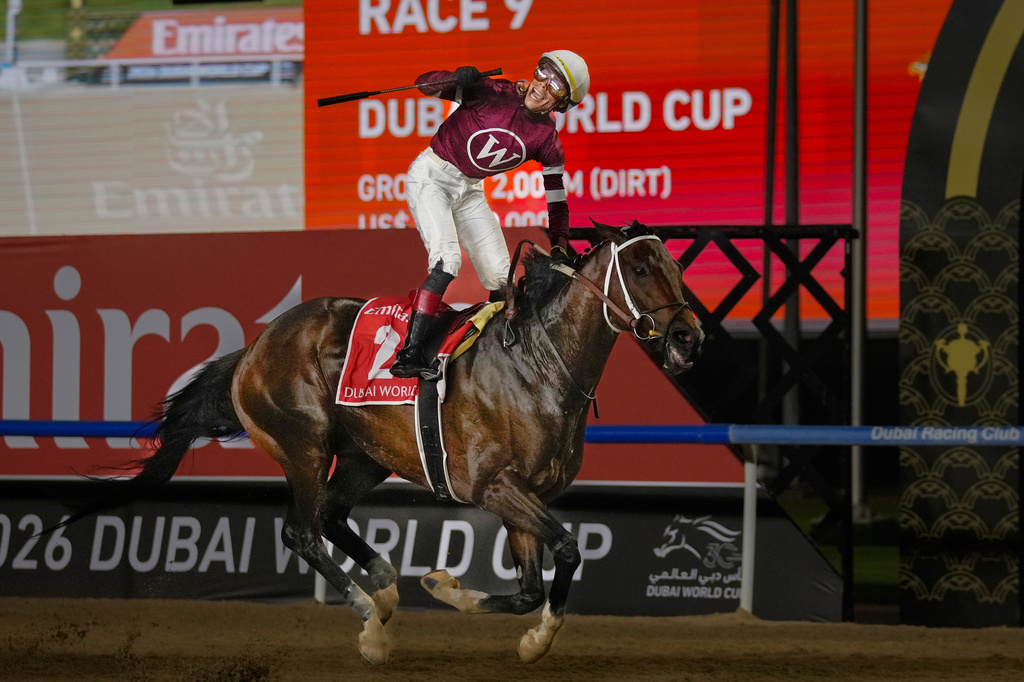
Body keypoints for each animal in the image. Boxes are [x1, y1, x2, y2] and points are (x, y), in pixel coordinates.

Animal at [51, 220, 703, 665]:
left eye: (675, 265)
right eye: (640, 269)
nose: (688, 337)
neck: (537, 366)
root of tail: (257, 345)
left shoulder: (526, 496)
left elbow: (528, 590)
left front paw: (496, 616)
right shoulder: (493, 486)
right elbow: (567, 548)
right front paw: (475, 605)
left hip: (365, 456)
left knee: (332, 515)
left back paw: (386, 589)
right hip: (305, 445)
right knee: (302, 530)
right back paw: (369, 619)